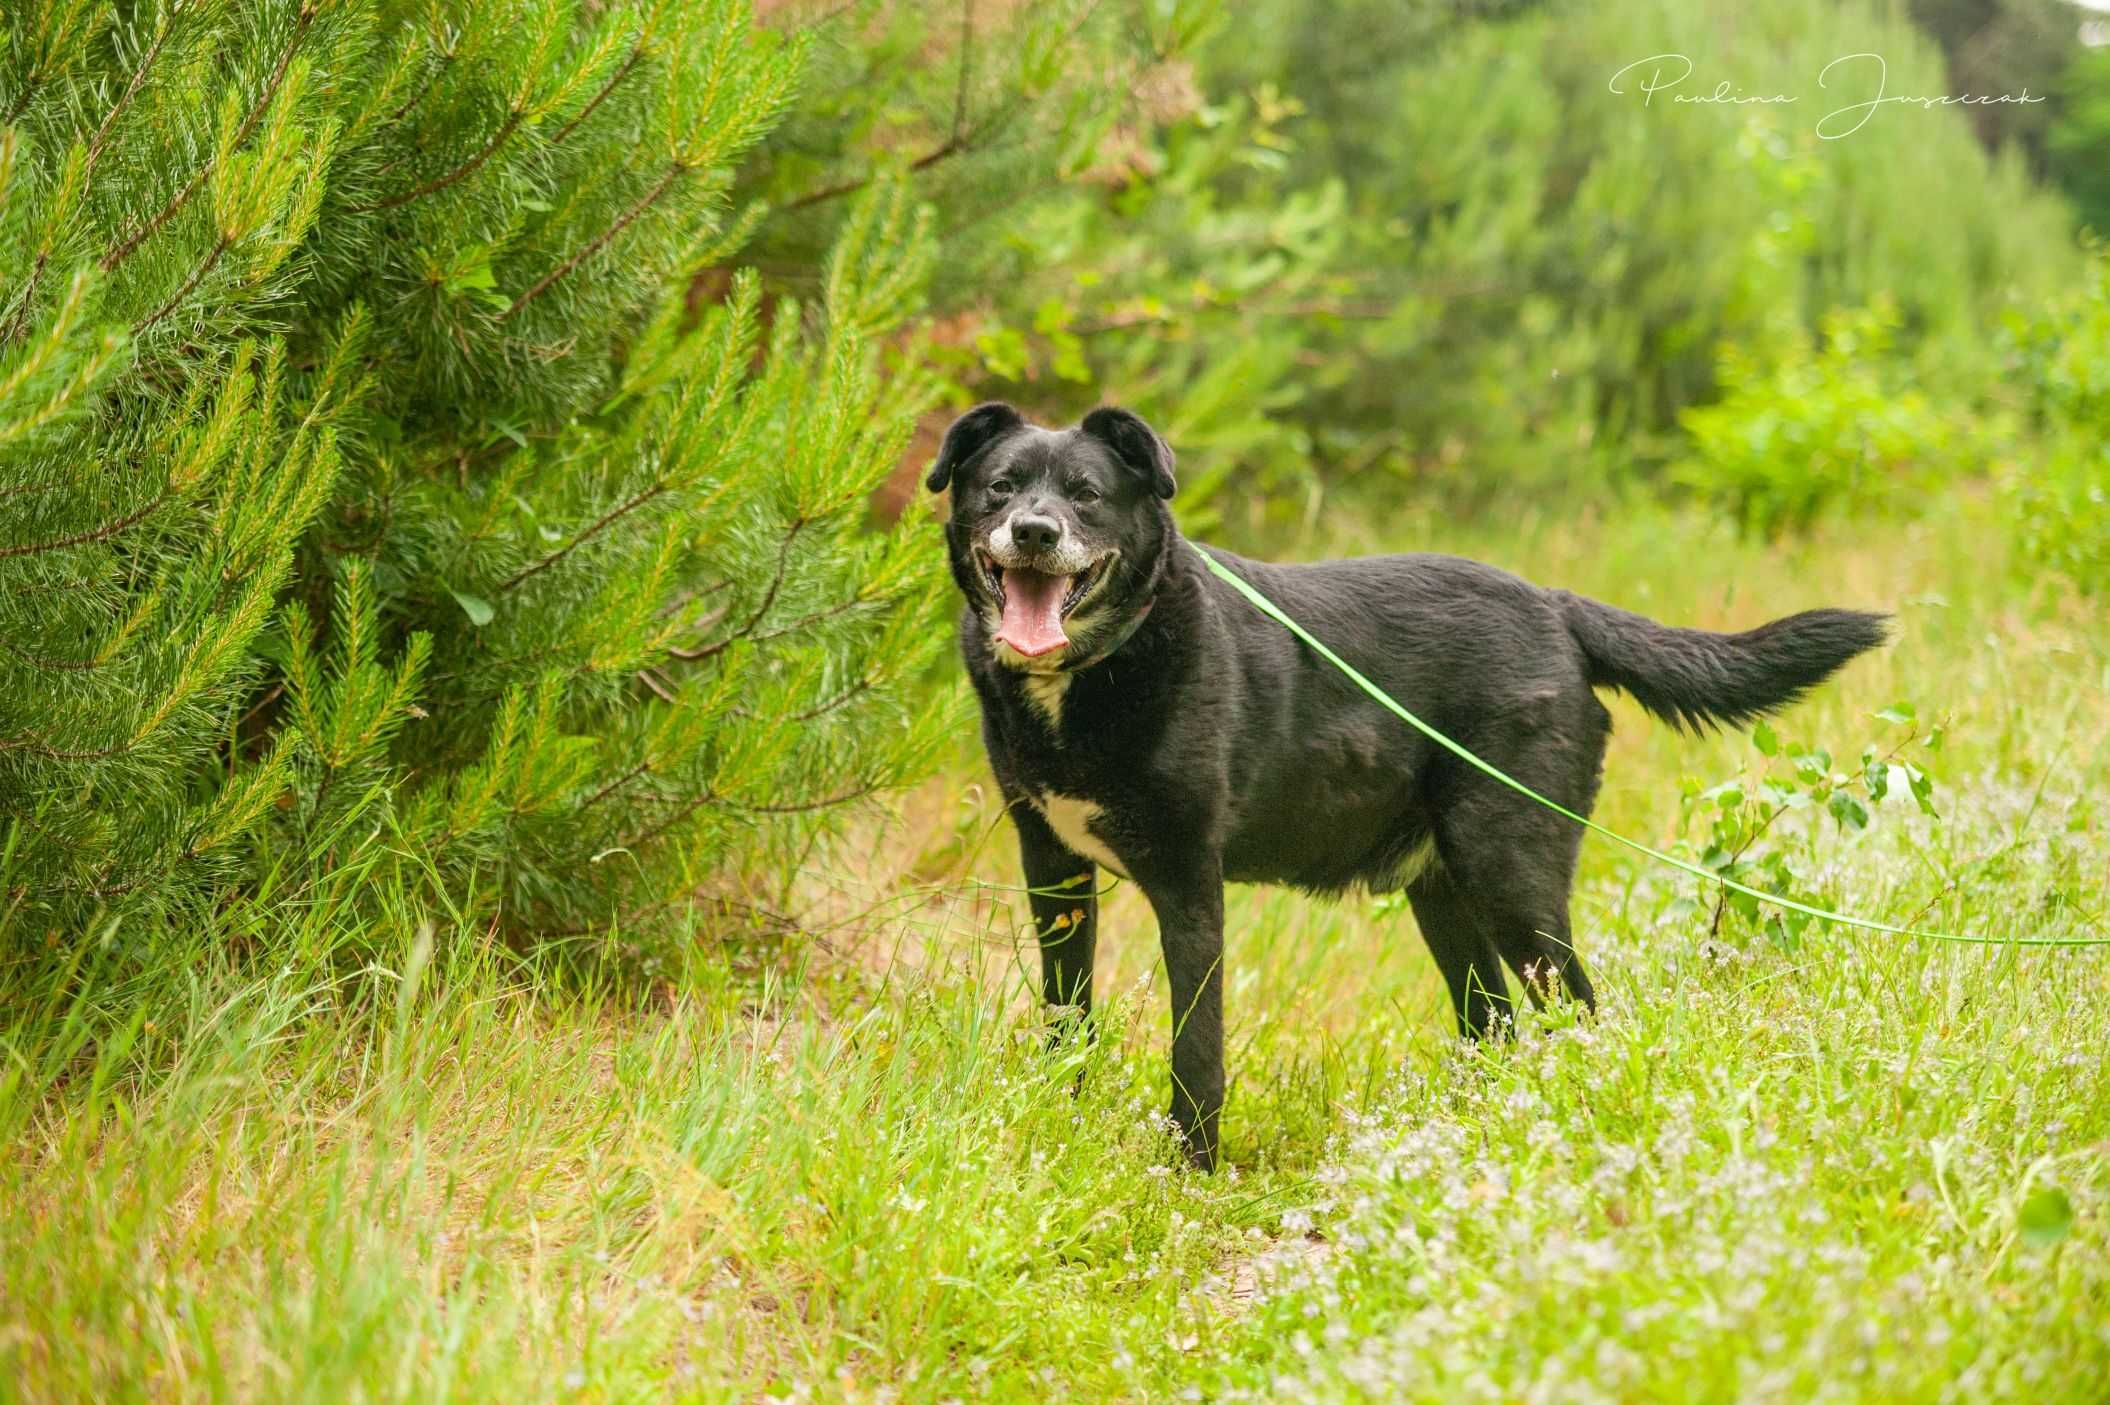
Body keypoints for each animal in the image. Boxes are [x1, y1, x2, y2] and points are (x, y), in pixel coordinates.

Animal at [932, 398, 1890, 1164]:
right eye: (1001, 489)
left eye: (1087, 494)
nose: (1036, 533)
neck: (1094, 670)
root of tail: (1558, 607)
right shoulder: (1054, 875)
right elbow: (1068, 1022)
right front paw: (1063, 1127)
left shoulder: (1190, 886)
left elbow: (1196, 1049)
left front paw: (1188, 1172)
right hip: (1446, 891)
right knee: (1496, 1024)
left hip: (1511, 873)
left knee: (1579, 1008)